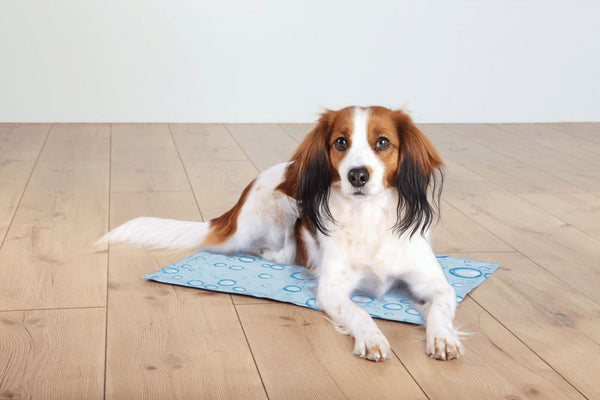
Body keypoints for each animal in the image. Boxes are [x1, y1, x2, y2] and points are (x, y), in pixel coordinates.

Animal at [97, 106, 464, 362]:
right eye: (341, 142)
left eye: (383, 142)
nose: (358, 175)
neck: (369, 218)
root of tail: (240, 204)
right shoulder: (333, 289)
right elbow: (359, 311)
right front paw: (372, 338)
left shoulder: (435, 283)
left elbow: (440, 308)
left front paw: (443, 338)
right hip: (283, 207)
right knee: (282, 251)